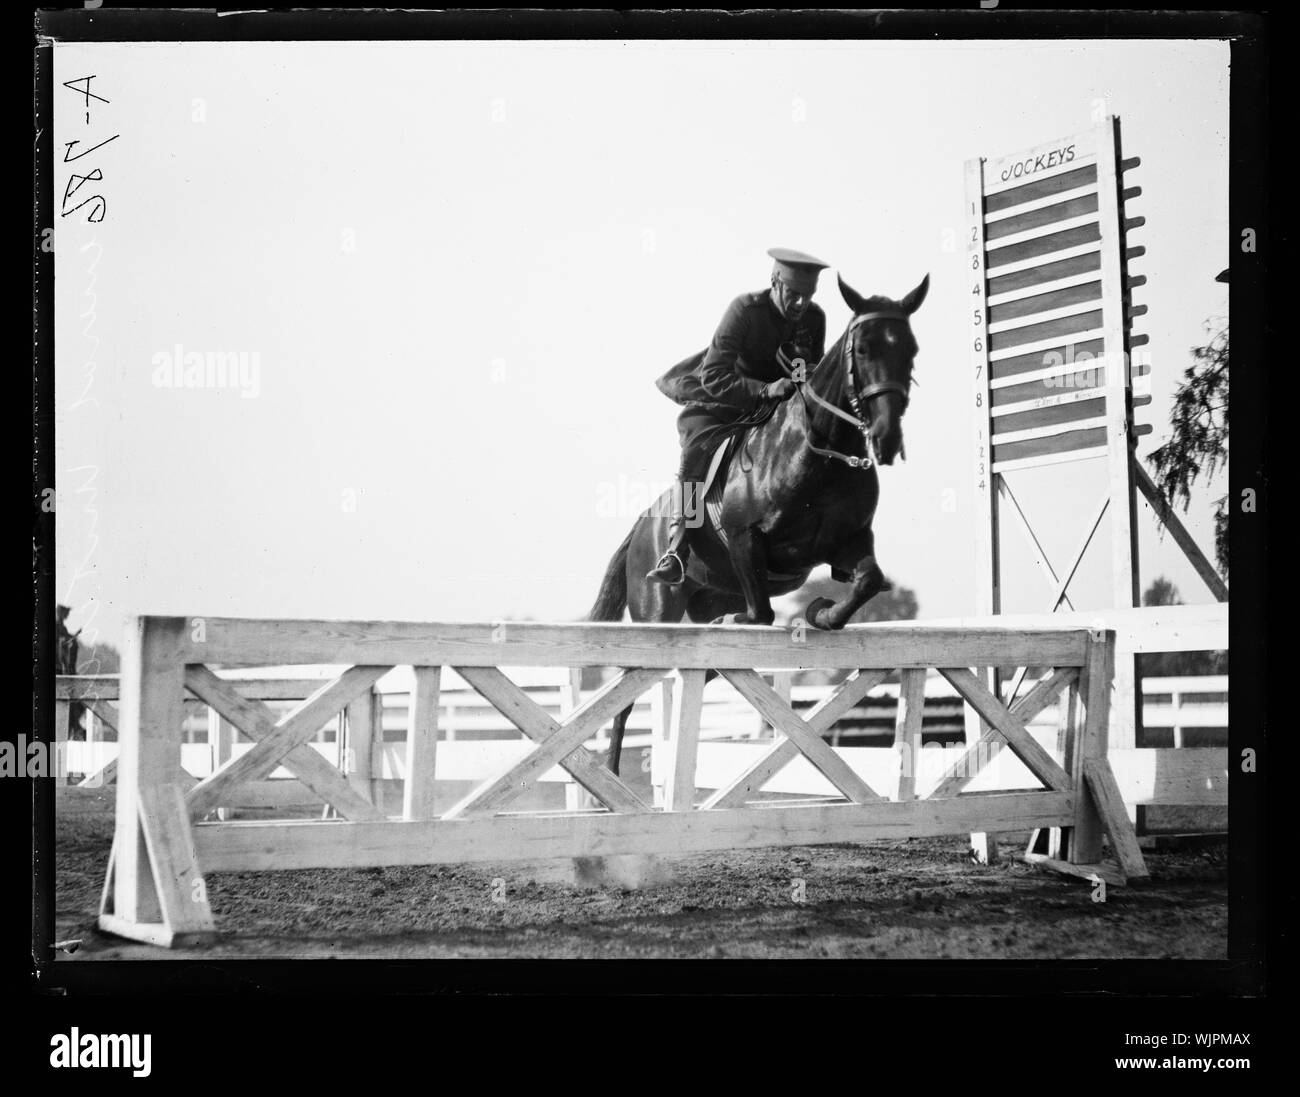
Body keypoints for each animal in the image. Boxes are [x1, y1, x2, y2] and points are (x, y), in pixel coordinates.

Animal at [587, 272, 929, 776]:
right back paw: (611, 773)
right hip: (655, 607)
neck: (817, 452)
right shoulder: (746, 539)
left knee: (703, 669)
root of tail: (641, 526)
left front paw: (821, 612)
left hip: (709, 594)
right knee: (627, 699)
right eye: (863, 349)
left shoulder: (850, 542)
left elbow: (867, 580)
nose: (886, 439)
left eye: (911, 350)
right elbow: (761, 613)